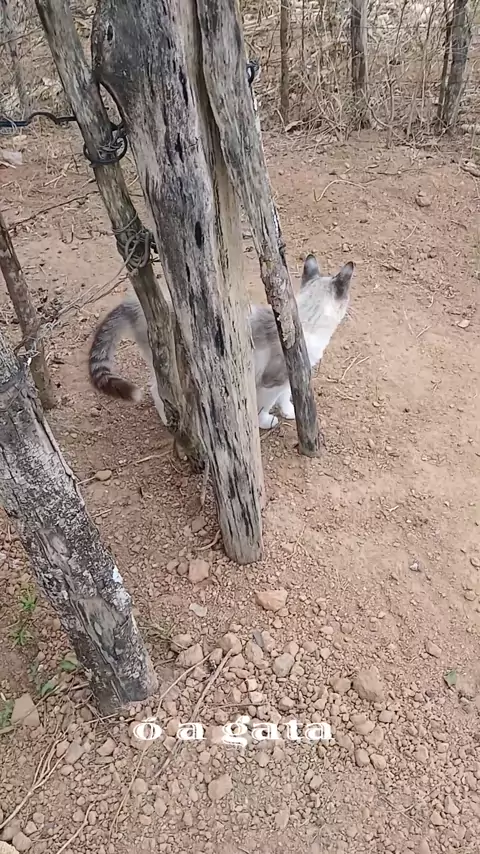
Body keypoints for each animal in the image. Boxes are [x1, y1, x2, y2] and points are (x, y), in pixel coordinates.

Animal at [88, 254, 353, 429]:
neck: (306, 320)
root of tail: (132, 301)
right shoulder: (271, 381)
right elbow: (266, 405)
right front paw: (267, 422)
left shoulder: (291, 375)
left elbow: (286, 396)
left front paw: (288, 412)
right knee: (157, 388)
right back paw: (169, 420)